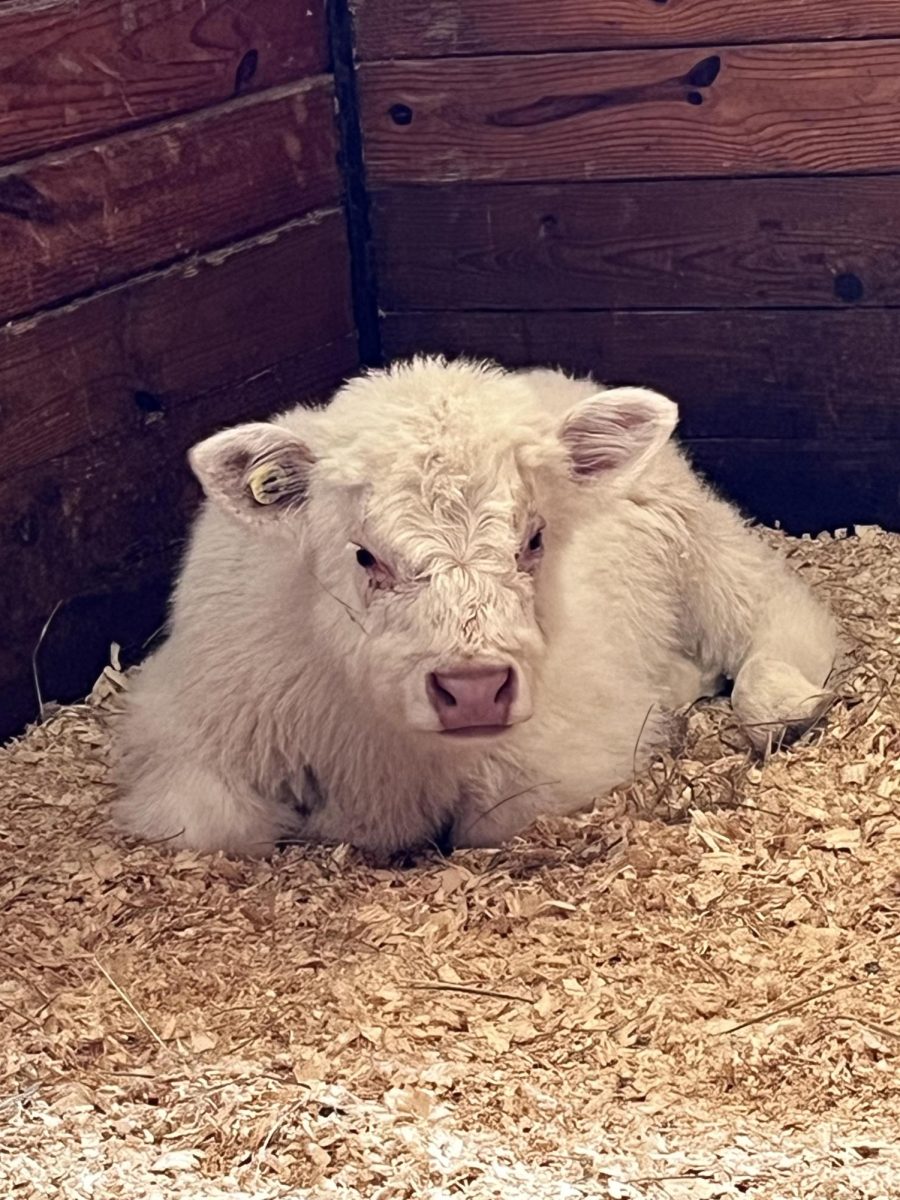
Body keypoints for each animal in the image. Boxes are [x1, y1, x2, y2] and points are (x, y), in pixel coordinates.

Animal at [115, 358, 836, 855]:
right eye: (364, 556)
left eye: (535, 539)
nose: (474, 688)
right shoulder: (180, 726)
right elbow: (217, 825)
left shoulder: (575, 745)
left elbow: (494, 816)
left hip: (704, 545)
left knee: (782, 622)